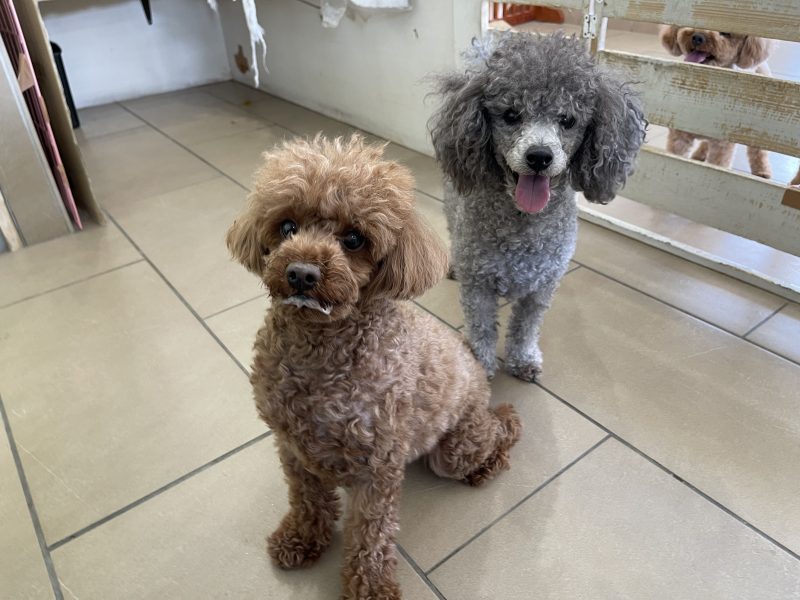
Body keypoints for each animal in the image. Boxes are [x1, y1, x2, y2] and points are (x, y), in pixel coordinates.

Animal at [226, 135, 521, 600]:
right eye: (287, 226)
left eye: (354, 238)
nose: (301, 273)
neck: (321, 349)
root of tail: (476, 370)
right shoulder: (293, 448)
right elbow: (306, 499)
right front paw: (302, 538)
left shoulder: (377, 469)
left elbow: (371, 534)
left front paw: (370, 587)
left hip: (454, 451)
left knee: (497, 433)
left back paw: (496, 445)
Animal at [430, 33, 645, 381]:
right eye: (511, 115)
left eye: (568, 120)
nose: (540, 156)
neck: (522, 221)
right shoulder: (478, 286)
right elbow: (482, 329)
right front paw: (479, 366)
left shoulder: (541, 286)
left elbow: (525, 327)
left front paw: (522, 358)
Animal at [659, 25, 775, 178]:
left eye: (725, 33)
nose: (697, 37)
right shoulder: (679, 135)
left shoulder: (722, 146)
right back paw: (699, 154)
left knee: (758, 150)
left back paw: (762, 171)